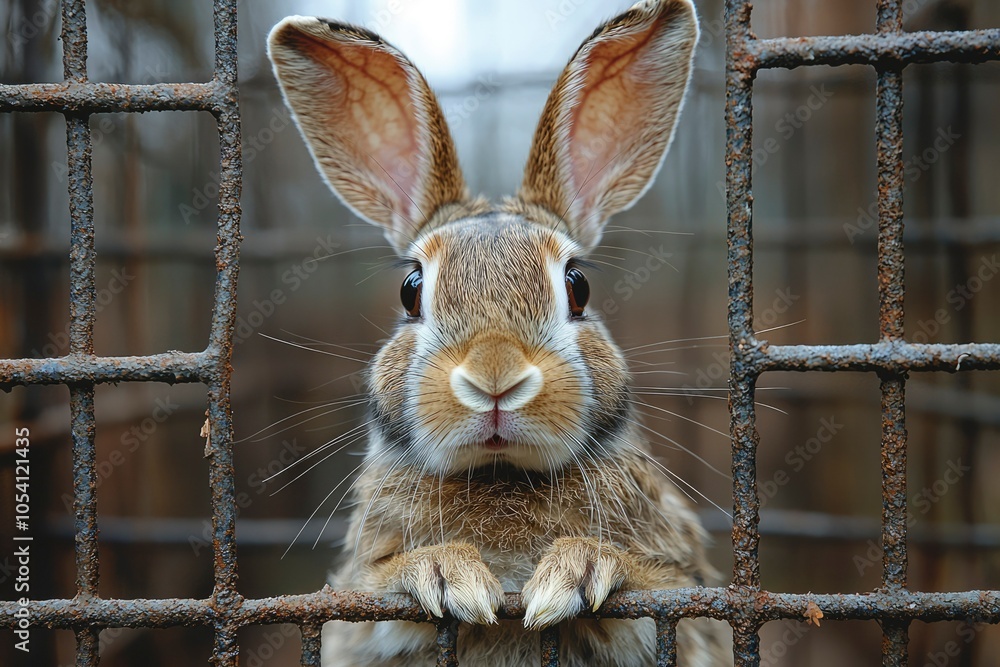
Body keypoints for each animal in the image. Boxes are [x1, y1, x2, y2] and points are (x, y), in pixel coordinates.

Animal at [267, 1, 730, 665]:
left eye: (578, 286)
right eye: (410, 290)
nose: (494, 378)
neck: (500, 474)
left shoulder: (684, 601)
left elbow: (654, 587)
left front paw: (577, 571)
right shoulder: (357, 602)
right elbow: (380, 590)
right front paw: (448, 575)